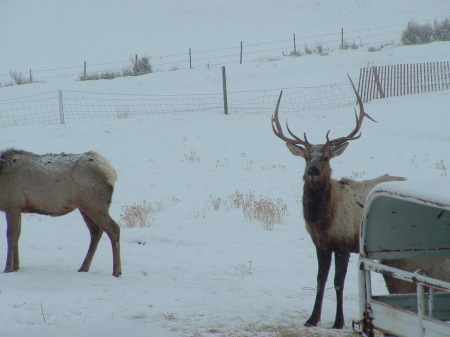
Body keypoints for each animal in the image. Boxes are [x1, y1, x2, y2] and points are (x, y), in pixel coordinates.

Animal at [272, 77, 406, 328]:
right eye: (307, 157)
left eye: (326, 157)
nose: (313, 170)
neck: (323, 221)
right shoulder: (320, 245)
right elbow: (319, 279)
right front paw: (312, 319)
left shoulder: (343, 244)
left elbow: (337, 282)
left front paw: (338, 321)